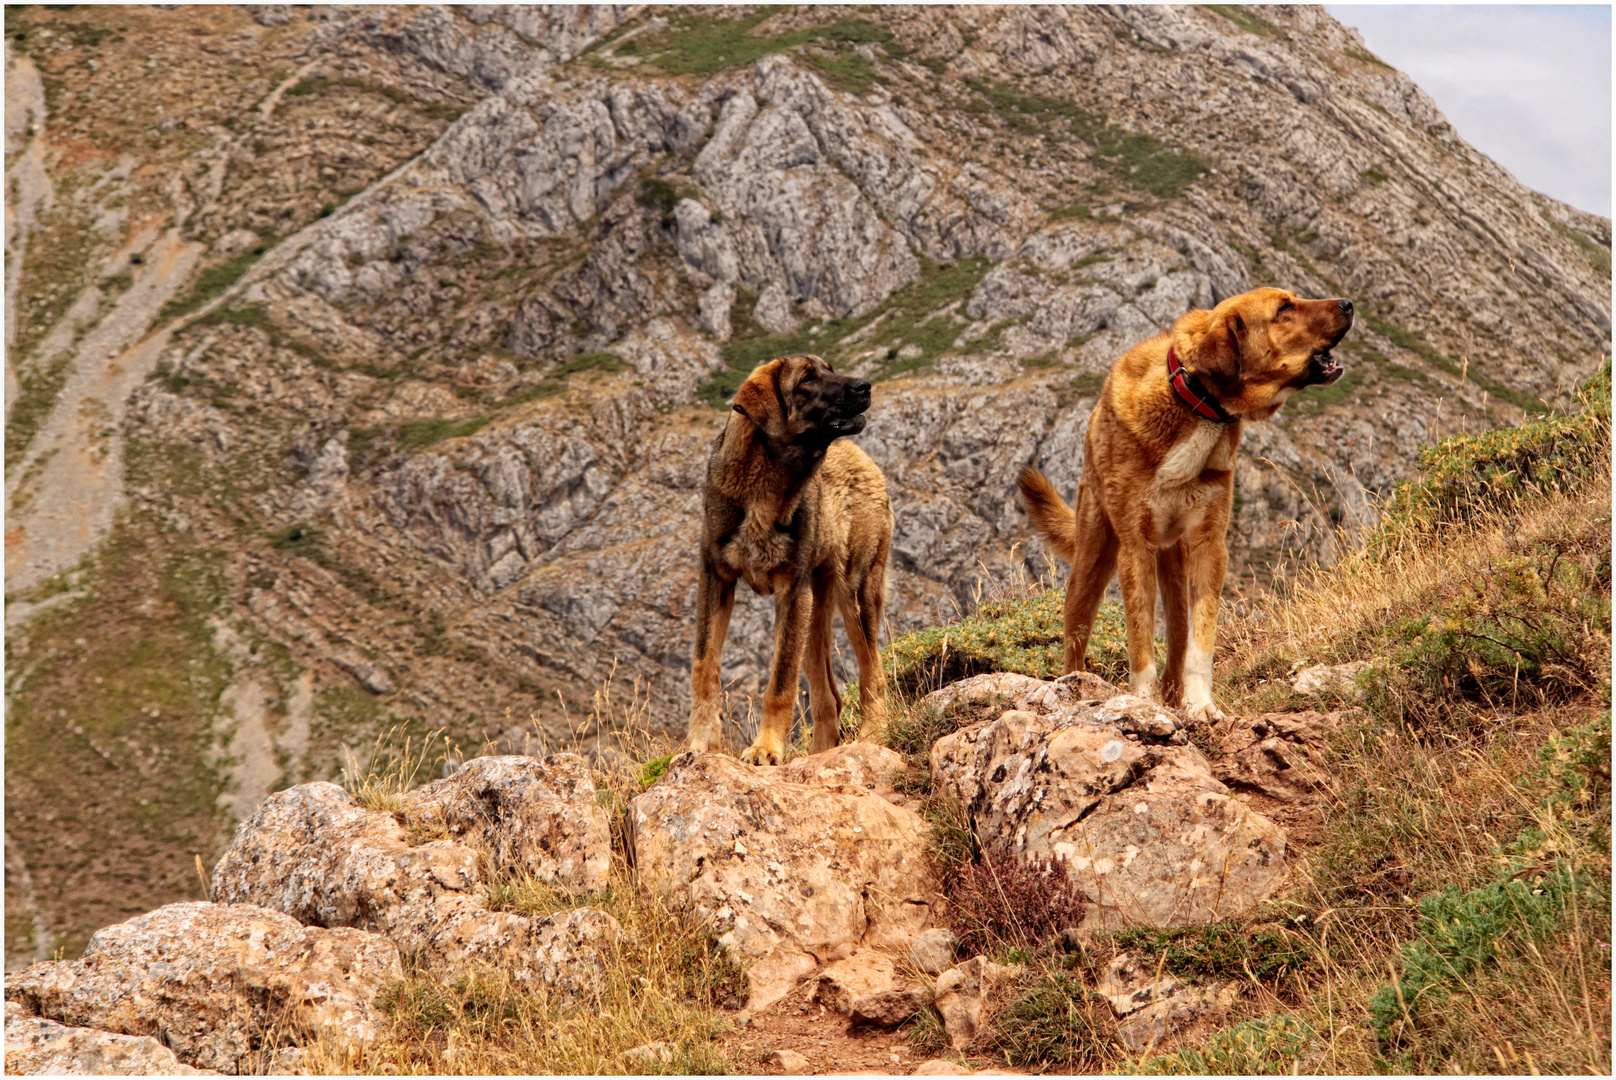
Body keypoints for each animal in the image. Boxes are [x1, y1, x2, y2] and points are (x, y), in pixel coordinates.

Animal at [685, 354, 898, 766]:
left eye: (829, 369)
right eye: (807, 379)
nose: (865, 385)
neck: (763, 488)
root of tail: (862, 458)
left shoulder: (791, 591)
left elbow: (780, 682)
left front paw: (766, 747)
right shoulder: (715, 579)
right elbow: (704, 664)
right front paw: (699, 743)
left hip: (856, 592)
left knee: (873, 675)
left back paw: (873, 736)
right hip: (816, 607)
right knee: (829, 696)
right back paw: (819, 754)